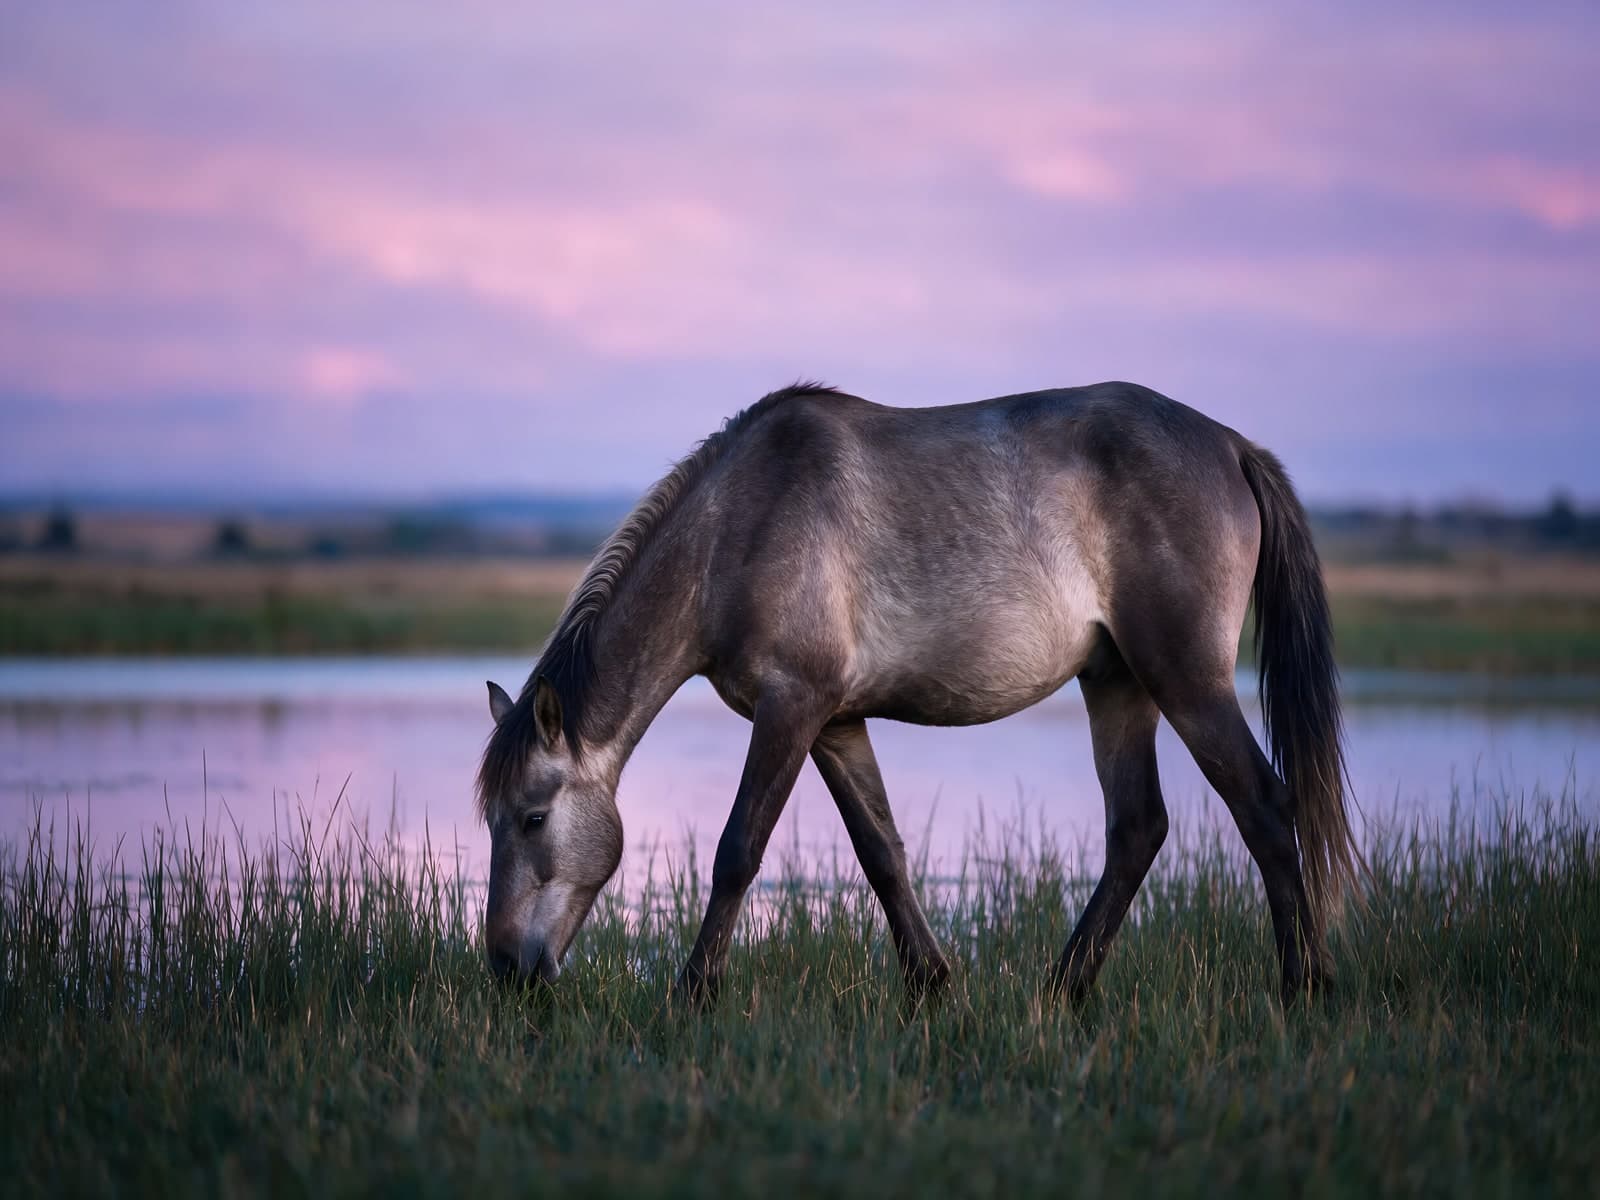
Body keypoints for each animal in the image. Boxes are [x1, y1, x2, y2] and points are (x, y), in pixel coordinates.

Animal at [477, 380, 1359, 1006]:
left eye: (532, 817)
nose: (506, 965)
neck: (736, 529)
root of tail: (1232, 446)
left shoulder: (791, 708)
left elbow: (738, 850)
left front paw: (692, 993)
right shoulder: (835, 722)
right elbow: (883, 854)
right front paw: (931, 982)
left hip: (1186, 679)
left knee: (1264, 806)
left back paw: (1304, 984)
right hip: (1117, 684)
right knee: (1138, 828)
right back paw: (1062, 988)